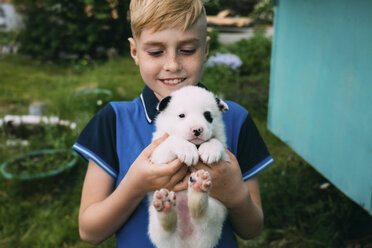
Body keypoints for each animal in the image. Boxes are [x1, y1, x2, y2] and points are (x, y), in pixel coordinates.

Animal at [148, 85, 230, 248]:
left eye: (208, 116)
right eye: (181, 115)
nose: (197, 130)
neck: (196, 145)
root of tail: (187, 243)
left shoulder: (226, 155)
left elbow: (216, 141)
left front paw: (210, 150)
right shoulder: (158, 154)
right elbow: (174, 139)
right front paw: (187, 151)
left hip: (216, 214)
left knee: (203, 216)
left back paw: (198, 188)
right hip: (155, 226)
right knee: (166, 228)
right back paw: (165, 204)